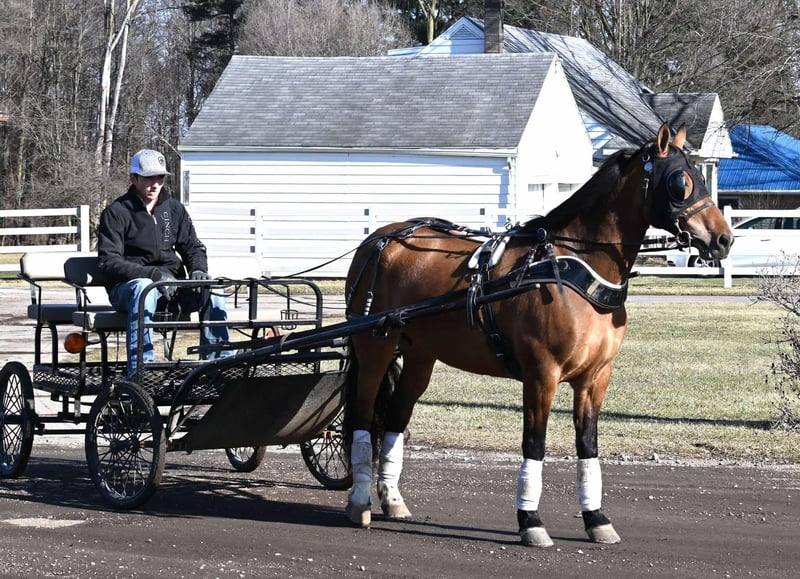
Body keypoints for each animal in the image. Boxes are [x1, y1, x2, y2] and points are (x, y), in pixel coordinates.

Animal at [342, 123, 733, 547]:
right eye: (680, 182)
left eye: (701, 176)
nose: (724, 238)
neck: (574, 267)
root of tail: (379, 239)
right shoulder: (541, 374)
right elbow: (535, 442)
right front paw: (530, 520)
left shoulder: (595, 378)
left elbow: (587, 444)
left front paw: (596, 518)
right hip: (375, 347)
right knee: (363, 414)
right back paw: (360, 500)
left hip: (420, 355)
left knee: (396, 418)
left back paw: (392, 498)